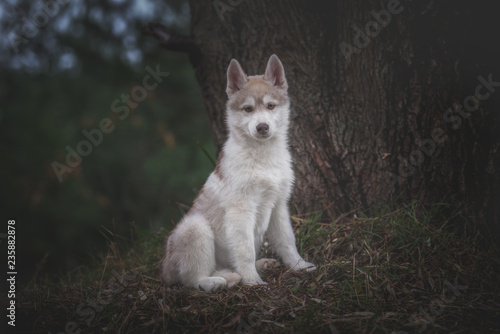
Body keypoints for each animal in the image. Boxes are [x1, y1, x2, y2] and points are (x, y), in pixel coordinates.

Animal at [160, 54, 316, 292]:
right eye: (248, 109)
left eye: (271, 106)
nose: (262, 127)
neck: (262, 158)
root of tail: (164, 271)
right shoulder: (240, 209)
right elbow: (245, 250)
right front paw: (253, 281)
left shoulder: (279, 204)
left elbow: (287, 240)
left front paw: (299, 265)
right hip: (195, 227)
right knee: (191, 279)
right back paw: (218, 281)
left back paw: (255, 267)